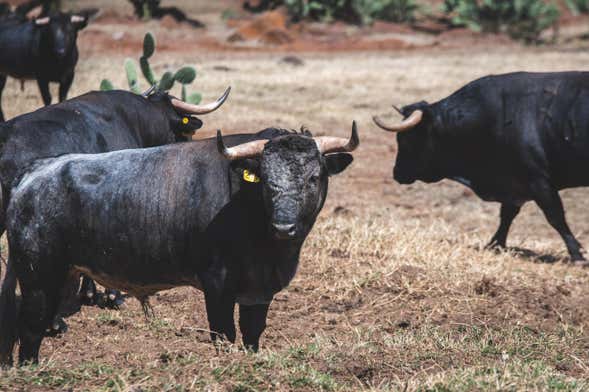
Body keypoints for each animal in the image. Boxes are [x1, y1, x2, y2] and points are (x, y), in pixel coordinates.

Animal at [0, 122, 358, 364]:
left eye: (313, 178)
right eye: (267, 182)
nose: (284, 226)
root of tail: (34, 172)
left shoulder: (259, 292)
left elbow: (252, 334)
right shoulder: (217, 286)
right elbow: (223, 333)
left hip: (63, 276)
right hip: (38, 278)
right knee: (30, 328)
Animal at [374, 71, 588, 264]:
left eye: (406, 139)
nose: (397, 173)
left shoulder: (538, 180)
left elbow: (555, 216)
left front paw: (577, 254)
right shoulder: (515, 183)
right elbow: (507, 216)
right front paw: (495, 245)